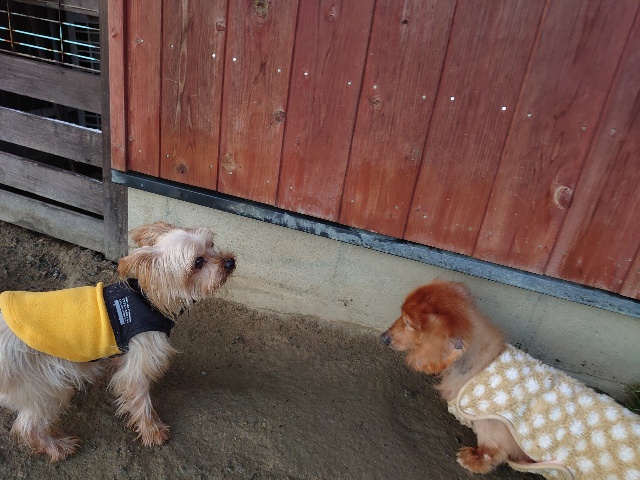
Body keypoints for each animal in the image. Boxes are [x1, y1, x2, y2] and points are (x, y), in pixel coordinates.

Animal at [0, 222, 235, 461]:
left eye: (212, 245)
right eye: (198, 262)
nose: (230, 262)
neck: (149, 300)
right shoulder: (140, 360)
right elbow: (140, 398)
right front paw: (152, 432)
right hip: (44, 386)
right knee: (28, 426)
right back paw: (58, 447)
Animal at [381, 280, 640, 479]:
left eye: (408, 322)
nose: (384, 337)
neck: (480, 363)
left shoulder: (494, 428)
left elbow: (492, 451)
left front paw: (474, 460)